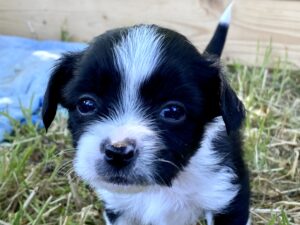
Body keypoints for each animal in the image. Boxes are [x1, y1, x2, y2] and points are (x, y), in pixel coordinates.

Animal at [42, 3, 251, 225]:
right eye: (86, 104)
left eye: (173, 111)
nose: (118, 151)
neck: (159, 188)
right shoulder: (118, 209)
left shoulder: (226, 195)